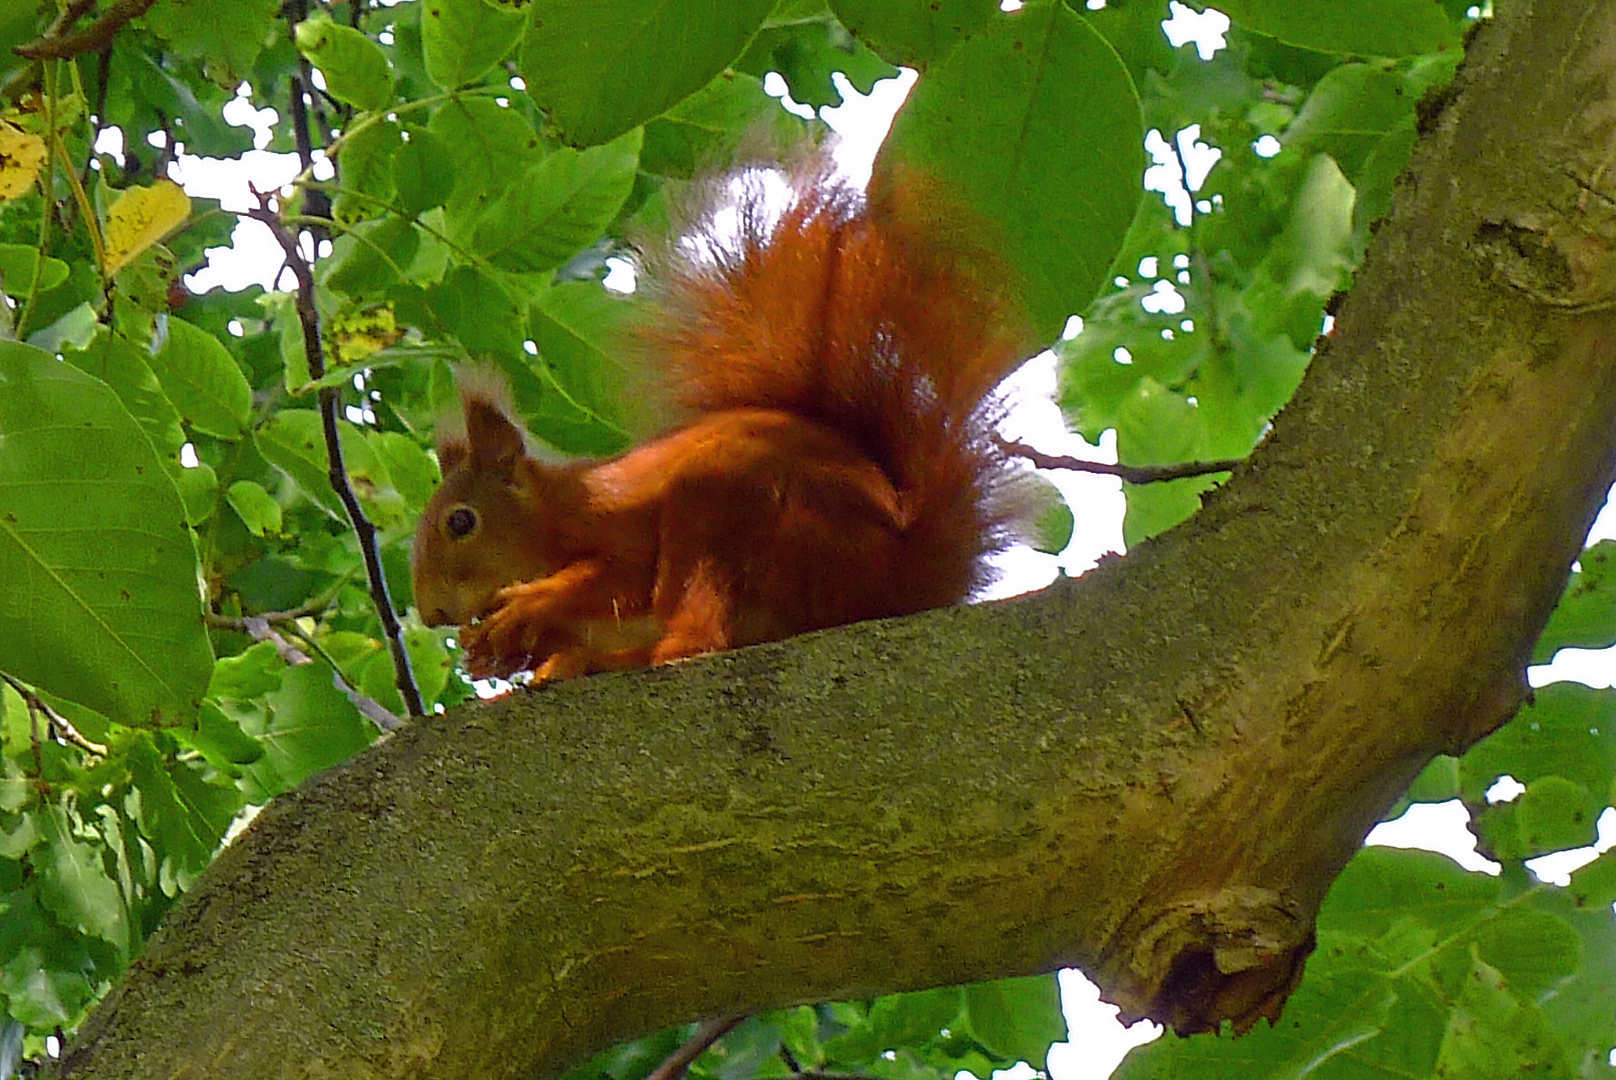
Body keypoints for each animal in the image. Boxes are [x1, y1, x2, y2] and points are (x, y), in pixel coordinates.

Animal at [410, 163, 1027, 679]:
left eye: (461, 522)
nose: (433, 613)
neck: (552, 517)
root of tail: (902, 585)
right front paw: (491, 651)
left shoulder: (619, 522)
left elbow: (621, 575)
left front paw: (531, 603)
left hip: (730, 512)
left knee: (696, 642)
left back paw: (601, 661)